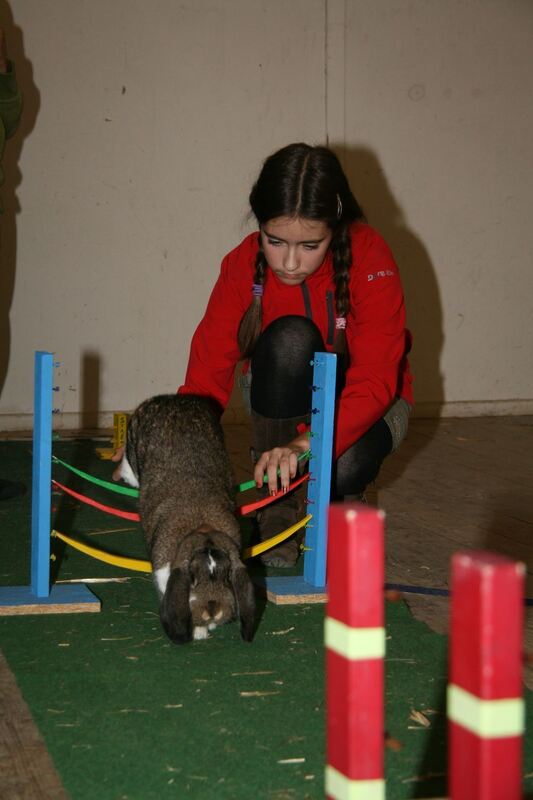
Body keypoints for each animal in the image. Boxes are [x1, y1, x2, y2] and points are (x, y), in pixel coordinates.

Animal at [116, 394, 256, 644]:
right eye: (193, 577)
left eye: (227, 576)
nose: (213, 611)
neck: (203, 527)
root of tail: (171, 399)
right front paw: (199, 631)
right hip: (131, 453)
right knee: (128, 469)